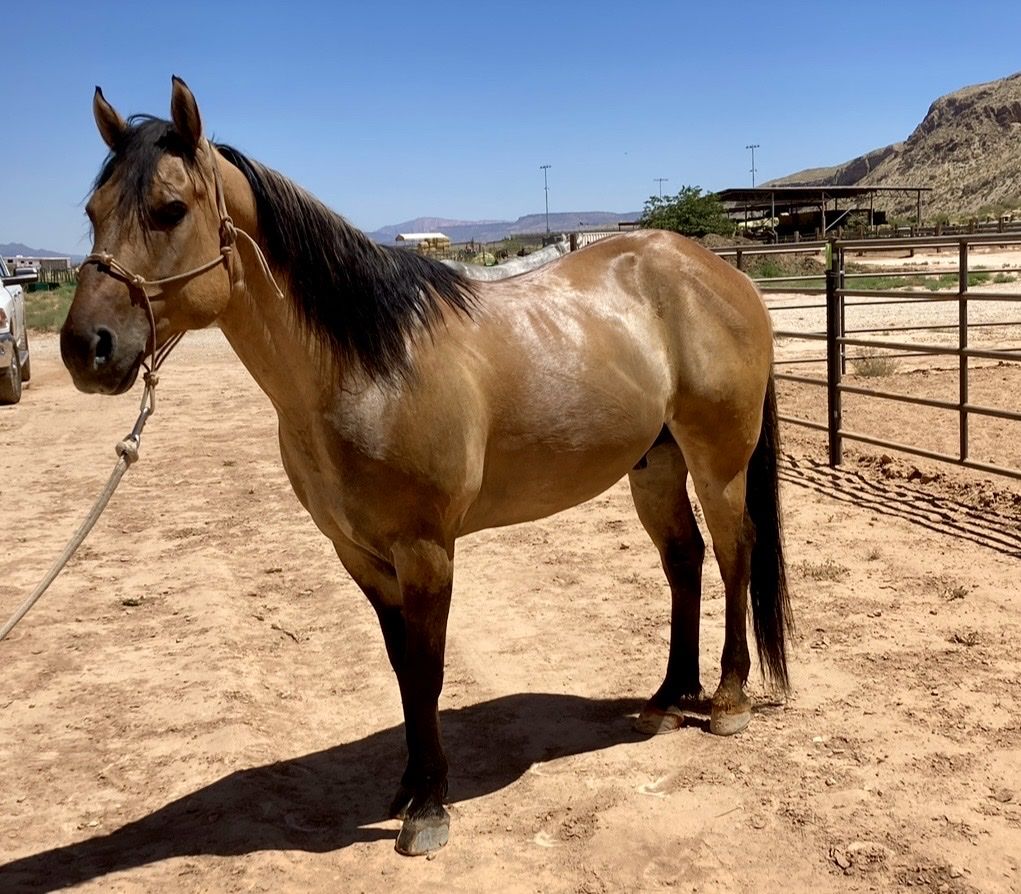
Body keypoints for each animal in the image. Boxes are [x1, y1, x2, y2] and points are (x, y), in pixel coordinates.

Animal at [61, 77, 792, 856]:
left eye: (170, 209)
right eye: (93, 213)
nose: (85, 347)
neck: (366, 368)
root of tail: (719, 272)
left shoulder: (426, 551)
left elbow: (431, 670)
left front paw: (430, 808)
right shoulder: (360, 556)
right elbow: (404, 670)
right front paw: (411, 786)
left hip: (718, 461)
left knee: (734, 552)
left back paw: (727, 699)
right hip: (655, 465)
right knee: (683, 560)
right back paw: (667, 699)